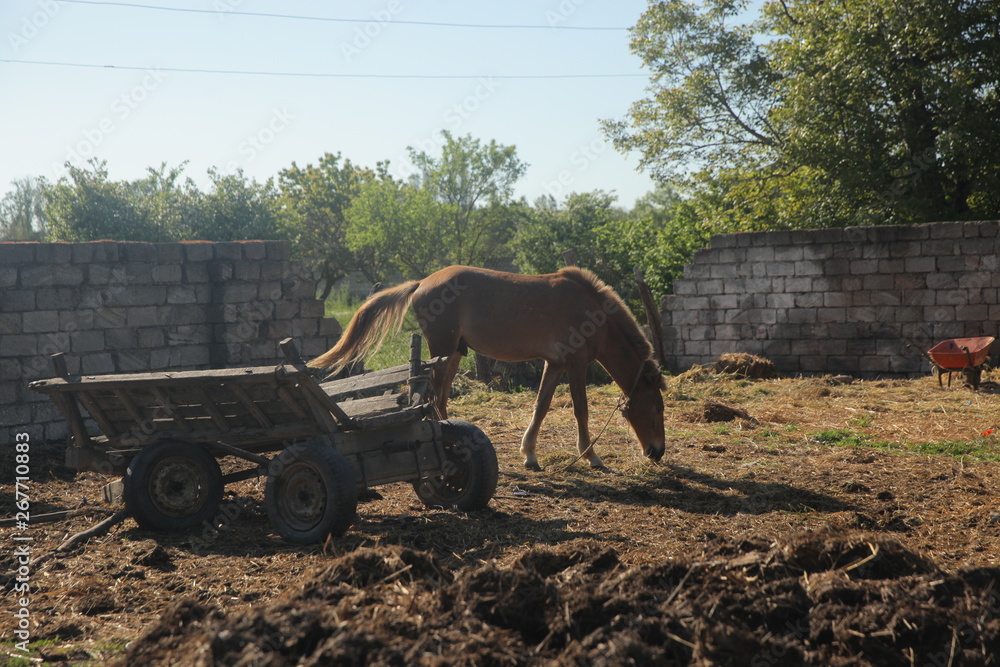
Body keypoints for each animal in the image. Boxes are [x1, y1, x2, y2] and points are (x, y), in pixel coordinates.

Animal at [308, 265, 666, 469]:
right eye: (656, 407)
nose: (657, 452)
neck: (591, 311)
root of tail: (422, 282)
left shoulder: (554, 364)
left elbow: (541, 406)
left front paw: (529, 453)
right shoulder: (575, 365)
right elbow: (581, 410)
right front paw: (591, 456)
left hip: (453, 353)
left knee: (440, 398)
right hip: (442, 351)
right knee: (434, 398)